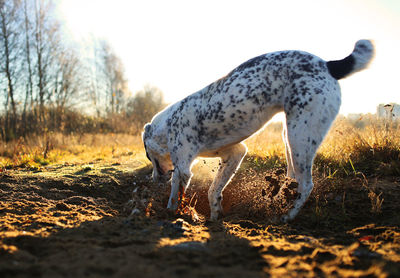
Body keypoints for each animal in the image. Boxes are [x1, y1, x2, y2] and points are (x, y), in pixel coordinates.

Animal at [143, 40, 376, 222]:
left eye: (148, 156)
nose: (153, 179)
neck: (167, 124)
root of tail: (328, 65)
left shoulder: (183, 167)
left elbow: (175, 194)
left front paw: (172, 214)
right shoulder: (235, 153)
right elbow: (213, 190)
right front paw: (215, 215)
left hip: (300, 136)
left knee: (306, 185)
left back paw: (286, 216)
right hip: (289, 137)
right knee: (293, 178)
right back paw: (278, 204)